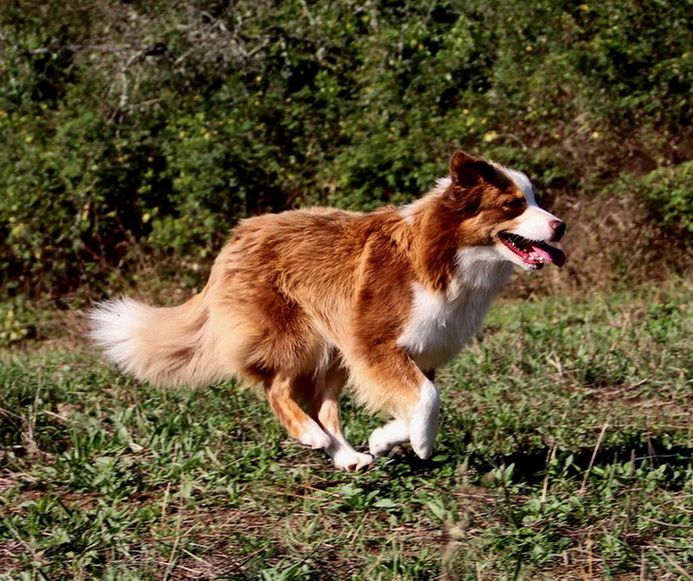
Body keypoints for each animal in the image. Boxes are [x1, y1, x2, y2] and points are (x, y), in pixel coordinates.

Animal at [90, 152, 564, 468]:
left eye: (534, 199)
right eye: (514, 205)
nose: (561, 225)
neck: (445, 254)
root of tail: (236, 236)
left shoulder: (418, 350)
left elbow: (417, 401)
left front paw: (386, 439)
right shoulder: (376, 344)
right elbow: (428, 400)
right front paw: (421, 443)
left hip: (335, 349)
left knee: (323, 406)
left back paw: (347, 455)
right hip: (300, 336)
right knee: (277, 389)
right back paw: (311, 436)